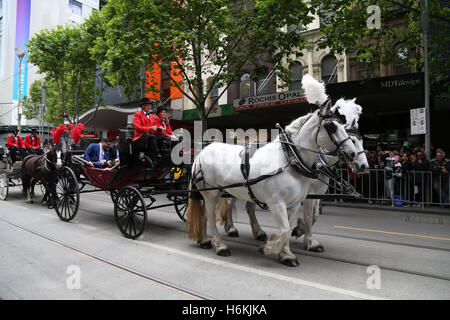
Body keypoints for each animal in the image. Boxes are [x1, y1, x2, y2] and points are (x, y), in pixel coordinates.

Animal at [185, 101, 356, 266]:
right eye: (332, 127)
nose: (352, 153)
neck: (290, 160)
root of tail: (202, 152)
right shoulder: (276, 203)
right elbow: (285, 230)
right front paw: (269, 248)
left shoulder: (295, 204)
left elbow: (289, 227)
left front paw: (286, 255)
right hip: (210, 193)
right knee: (210, 216)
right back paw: (220, 245)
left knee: (208, 214)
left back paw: (205, 240)